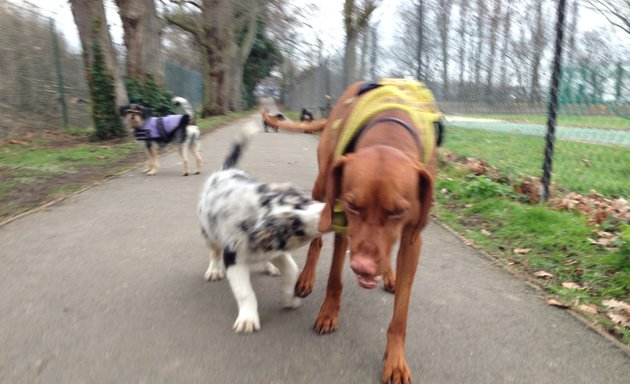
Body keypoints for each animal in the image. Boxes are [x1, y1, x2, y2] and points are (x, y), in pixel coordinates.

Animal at [198, 121, 326, 332]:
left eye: (302, 200)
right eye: (296, 227)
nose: (327, 211)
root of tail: (225, 171)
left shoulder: (279, 251)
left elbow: (291, 272)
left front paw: (290, 300)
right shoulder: (233, 258)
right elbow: (245, 292)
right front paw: (247, 321)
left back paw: (270, 267)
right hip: (208, 232)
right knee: (214, 252)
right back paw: (214, 271)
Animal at [262, 79, 444, 384]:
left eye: (398, 211)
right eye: (353, 205)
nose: (363, 267)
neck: (389, 132)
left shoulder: (412, 239)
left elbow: (400, 315)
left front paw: (395, 360)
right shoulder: (343, 222)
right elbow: (335, 279)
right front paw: (328, 314)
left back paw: (389, 275)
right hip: (323, 186)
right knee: (317, 240)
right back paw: (307, 277)